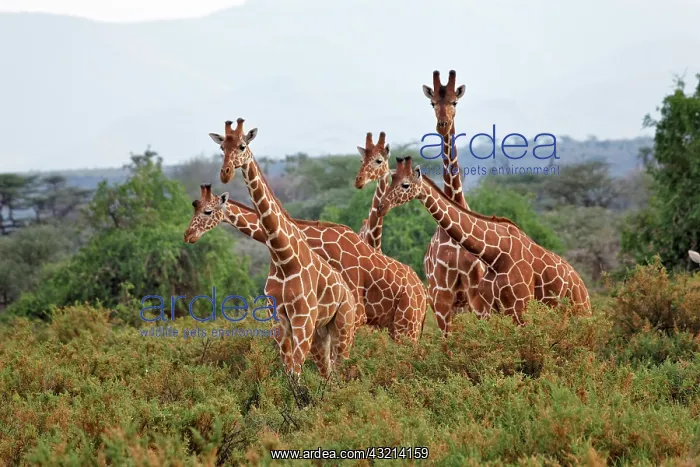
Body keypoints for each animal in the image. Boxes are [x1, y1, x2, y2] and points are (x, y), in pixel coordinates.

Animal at [206, 119, 357, 380]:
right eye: (222, 148)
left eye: (243, 146)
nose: (225, 173)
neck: (282, 255)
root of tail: (349, 294)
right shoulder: (278, 320)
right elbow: (288, 372)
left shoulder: (303, 319)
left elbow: (295, 370)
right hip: (322, 333)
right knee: (328, 373)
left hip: (343, 326)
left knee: (340, 370)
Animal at [377, 156, 591, 323]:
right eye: (391, 179)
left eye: (405, 184)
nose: (381, 206)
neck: (494, 255)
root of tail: (581, 284)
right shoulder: (493, 308)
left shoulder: (519, 305)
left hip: (579, 310)